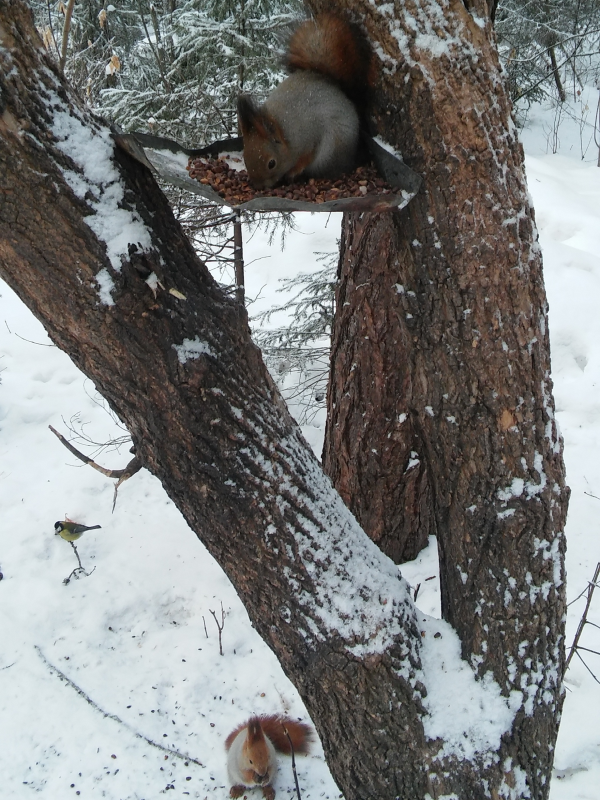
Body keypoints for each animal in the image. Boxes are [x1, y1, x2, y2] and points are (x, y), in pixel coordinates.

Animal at [238, 16, 370, 192]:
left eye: (271, 163)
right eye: (244, 157)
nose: (260, 187)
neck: (284, 132)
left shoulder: (311, 136)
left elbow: (307, 156)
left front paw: (294, 170)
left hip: (333, 150)